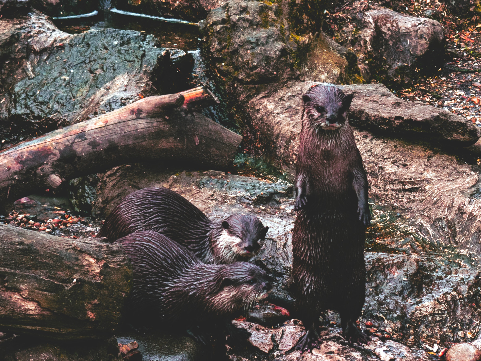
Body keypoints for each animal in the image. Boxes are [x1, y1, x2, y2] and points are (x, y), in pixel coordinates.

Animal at [288, 83, 372, 348]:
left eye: (342, 106)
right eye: (320, 107)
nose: (333, 117)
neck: (327, 158)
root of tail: (330, 301)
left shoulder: (356, 163)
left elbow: (362, 184)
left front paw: (363, 212)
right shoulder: (302, 164)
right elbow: (299, 183)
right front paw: (300, 202)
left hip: (356, 284)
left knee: (349, 313)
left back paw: (355, 333)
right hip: (307, 284)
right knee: (310, 314)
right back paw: (308, 337)